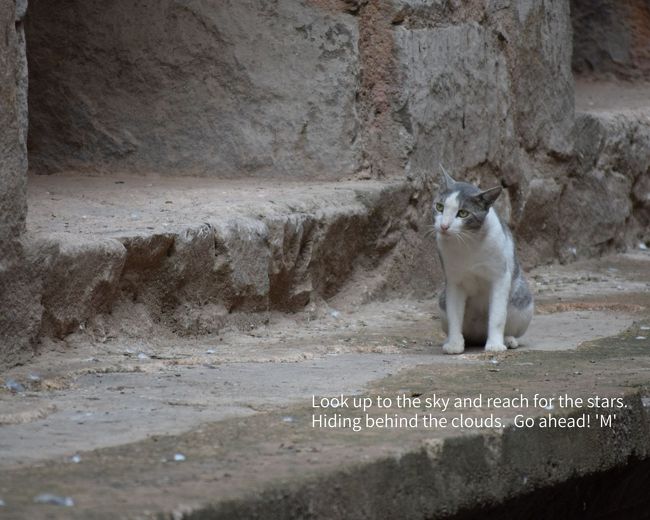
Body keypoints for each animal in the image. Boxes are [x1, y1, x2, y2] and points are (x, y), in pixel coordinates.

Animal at [430, 167, 532, 354]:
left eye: (463, 213)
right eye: (439, 207)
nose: (444, 226)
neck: (468, 243)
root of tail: (479, 336)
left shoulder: (500, 277)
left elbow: (497, 316)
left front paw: (495, 345)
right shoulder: (454, 282)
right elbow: (455, 314)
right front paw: (454, 344)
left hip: (522, 301)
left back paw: (508, 340)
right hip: (442, 301)